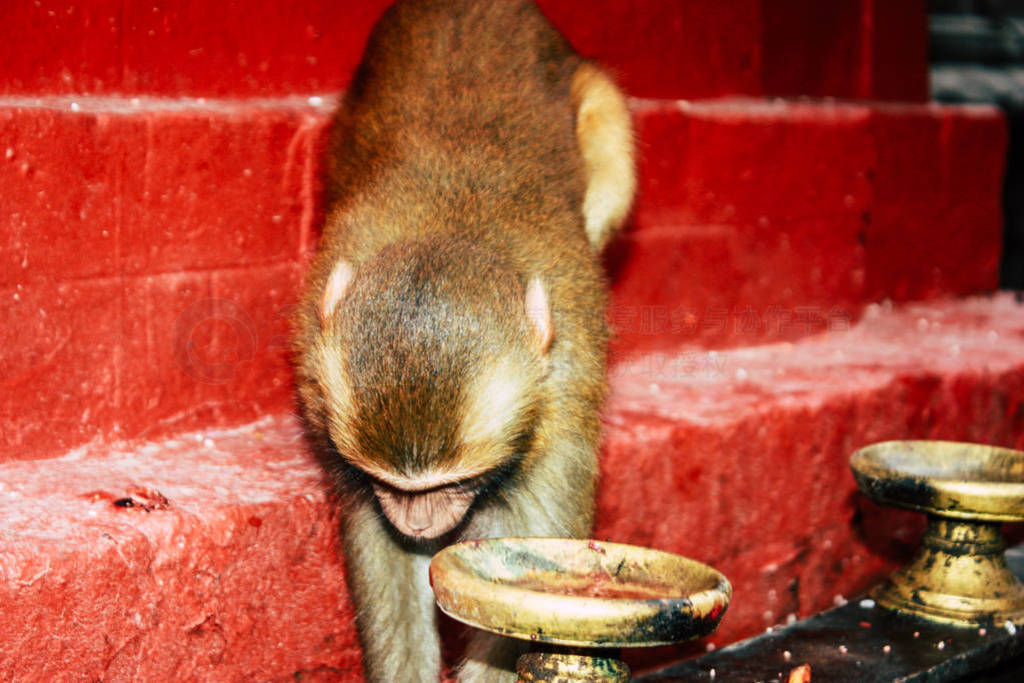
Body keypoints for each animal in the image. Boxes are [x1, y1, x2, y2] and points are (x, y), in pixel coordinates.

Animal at [292, 2, 634, 679]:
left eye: (449, 485)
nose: (420, 520)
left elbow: (524, 578)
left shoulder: (560, 416)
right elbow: (386, 552)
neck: (453, 224)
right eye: (398, 488)